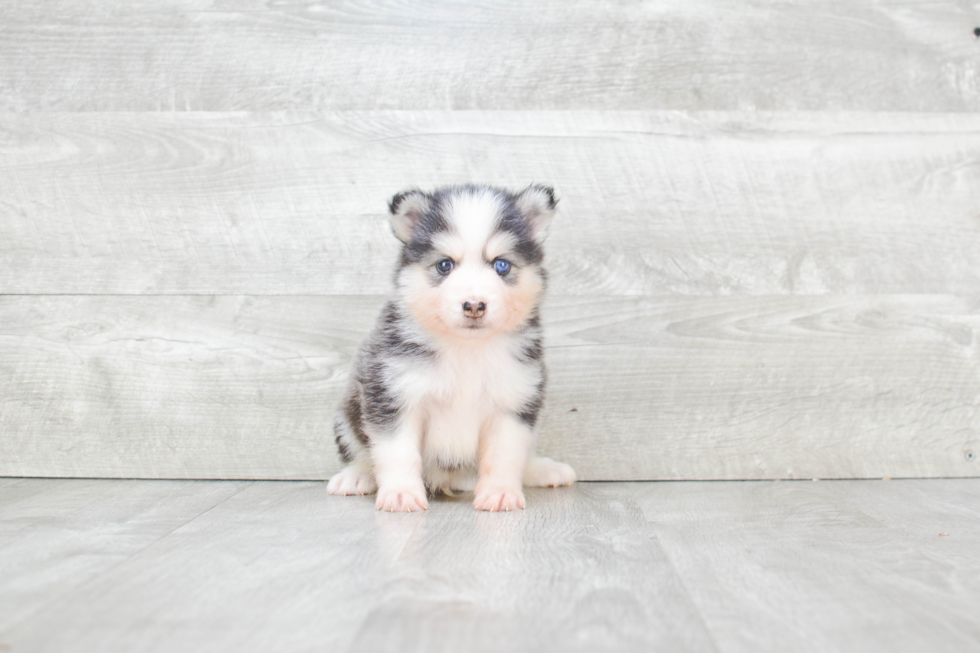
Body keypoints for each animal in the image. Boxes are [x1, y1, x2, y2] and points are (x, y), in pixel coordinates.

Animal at [326, 182, 580, 510]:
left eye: (501, 265)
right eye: (444, 265)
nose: (474, 305)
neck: (466, 350)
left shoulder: (513, 402)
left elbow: (505, 455)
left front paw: (500, 492)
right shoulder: (393, 397)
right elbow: (398, 453)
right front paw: (401, 493)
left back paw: (543, 469)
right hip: (349, 412)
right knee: (360, 452)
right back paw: (356, 476)